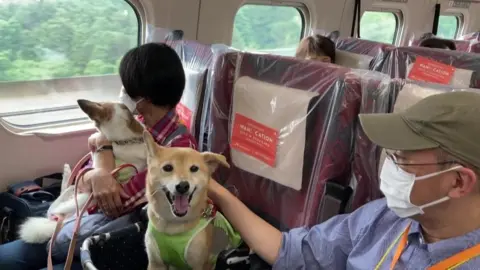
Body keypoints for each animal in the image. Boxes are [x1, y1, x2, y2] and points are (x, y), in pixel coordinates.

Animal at [142, 130, 231, 268]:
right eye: (168, 168)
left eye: (194, 168)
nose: (183, 186)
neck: (172, 226)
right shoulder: (155, 263)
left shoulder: (197, 263)